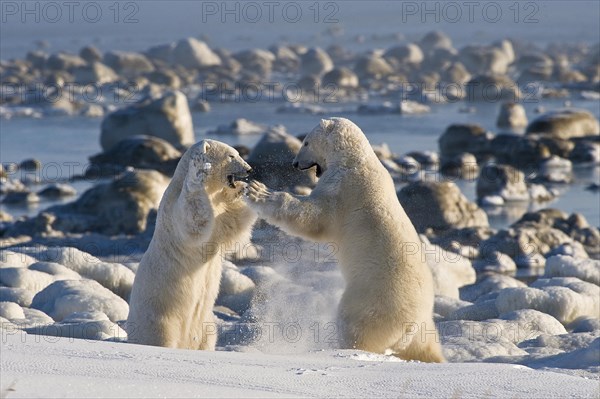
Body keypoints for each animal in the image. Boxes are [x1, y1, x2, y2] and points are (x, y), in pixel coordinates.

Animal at [127, 140, 254, 350]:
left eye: (237, 153)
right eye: (231, 156)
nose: (249, 169)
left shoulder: (219, 217)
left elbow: (232, 224)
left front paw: (245, 189)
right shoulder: (173, 210)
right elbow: (192, 218)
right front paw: (199, 172)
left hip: (205, 324)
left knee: (208, 335)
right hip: (160, 317)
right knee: (160, 338)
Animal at [245, 118, 446, 362]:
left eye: (305, 142)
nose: (294, 163)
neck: (354, 160)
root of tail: (412, 323)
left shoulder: (342, 188)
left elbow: (312, 216)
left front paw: (258, 191)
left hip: (372, 301)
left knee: (356, 326)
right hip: (423, 327)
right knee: (426, 346)